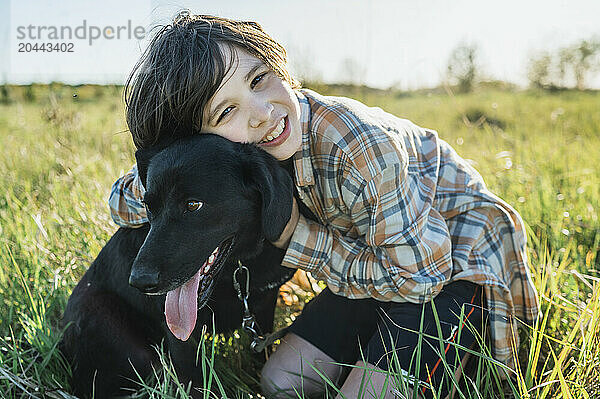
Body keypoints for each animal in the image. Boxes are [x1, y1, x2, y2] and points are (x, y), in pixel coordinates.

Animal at [58, 136, 298, 398]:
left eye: (193, 205)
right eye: (147, 205)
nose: (139, 281)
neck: (239, 266)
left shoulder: (264, 308)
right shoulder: (180, 337)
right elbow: (196, 382)